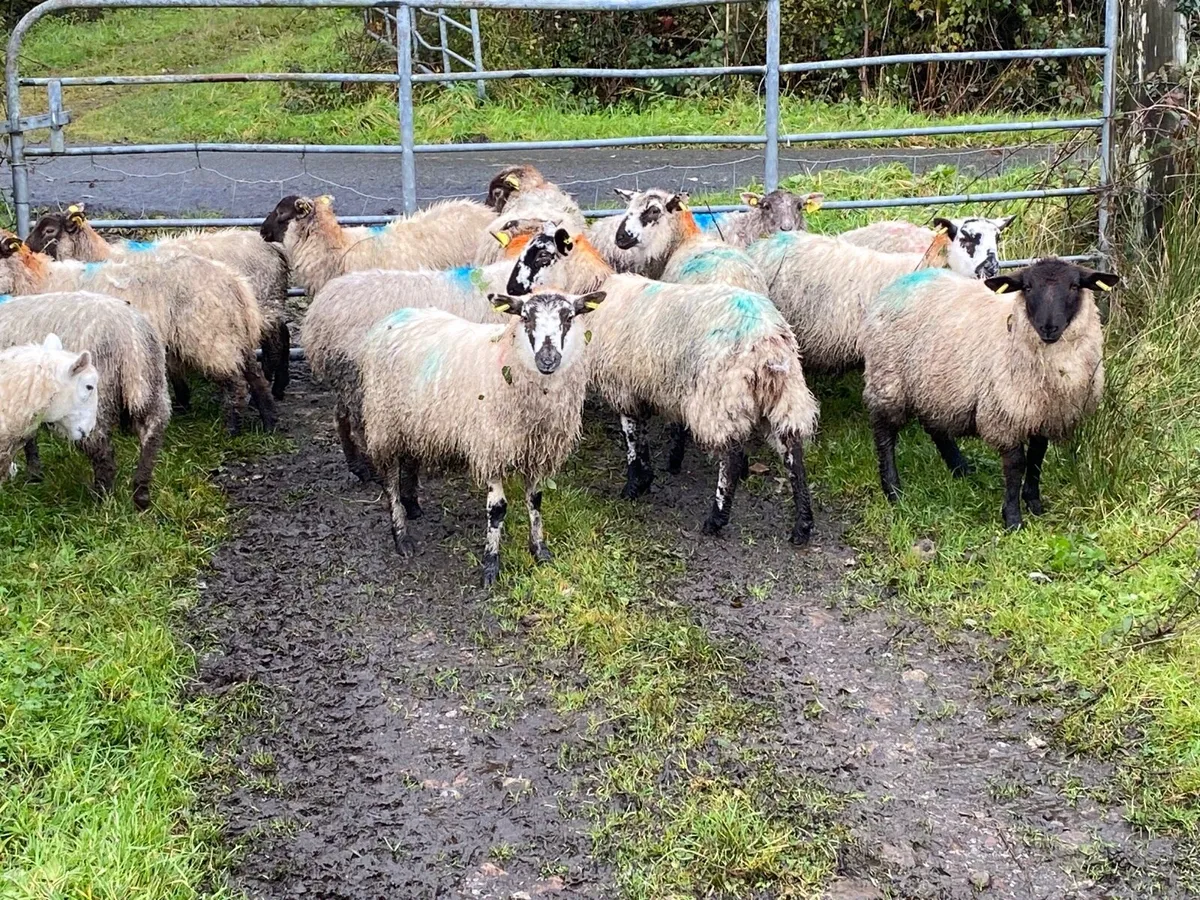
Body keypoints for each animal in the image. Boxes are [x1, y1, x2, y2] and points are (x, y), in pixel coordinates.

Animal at [0, 231, 273, 435]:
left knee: (236, 384)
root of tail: (233, 280)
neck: (41, 281)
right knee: (256, 375)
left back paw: (232, 429)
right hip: (231, 334)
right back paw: (270, 421)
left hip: (210, 337)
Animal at [26, 206, 293, 401]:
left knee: (276, 341)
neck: (100, 257)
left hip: (262, 304)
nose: (25, 250)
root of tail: (273, 247)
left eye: (49, 230)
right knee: (283, 334)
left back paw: (273, 386)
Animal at [344, 290, 606, 586]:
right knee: (389, 479)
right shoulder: (490, 446)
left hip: (414, 421)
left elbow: (536, 500)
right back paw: (401, 536)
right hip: (385, 420)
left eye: (569, 317)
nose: (548, 360)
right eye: (525, 317)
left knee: (411, 459)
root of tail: (394, 317)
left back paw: (412, 506)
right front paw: (490, 565)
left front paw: (540, 550)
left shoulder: (536, 450)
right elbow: (497, 510)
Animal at [861, 259, 1117, 530]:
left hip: (934, 385)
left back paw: (960, 468)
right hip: (889, 379)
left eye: (1074, 286)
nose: (1048, 328)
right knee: (884, 434)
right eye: (1027, 287)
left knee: (935, 426)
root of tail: (896, 284)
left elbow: (1037, 458)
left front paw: (1034, 503)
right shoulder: (1004, 414)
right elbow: (1016, 465)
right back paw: (893, 490)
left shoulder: (1042, 413)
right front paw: (1013, 519)